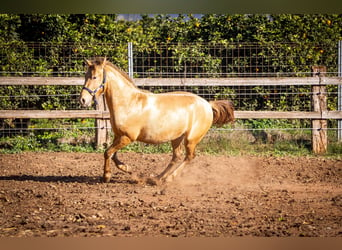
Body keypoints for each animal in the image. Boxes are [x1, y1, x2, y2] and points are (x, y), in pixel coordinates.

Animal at [79, 57, 234, 185]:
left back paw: (168, 179)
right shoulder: (119, 136)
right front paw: (127, 168)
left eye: (95, 77)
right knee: (176, 157)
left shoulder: (127, 137)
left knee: (189, 157)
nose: (83, 100)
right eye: (85, 76)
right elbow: (112, 154)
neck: (129, 103)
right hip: (177, 138)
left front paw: (106, 176)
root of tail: (207, 104)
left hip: (191, 139)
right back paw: (157, 178)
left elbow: (107, 152)